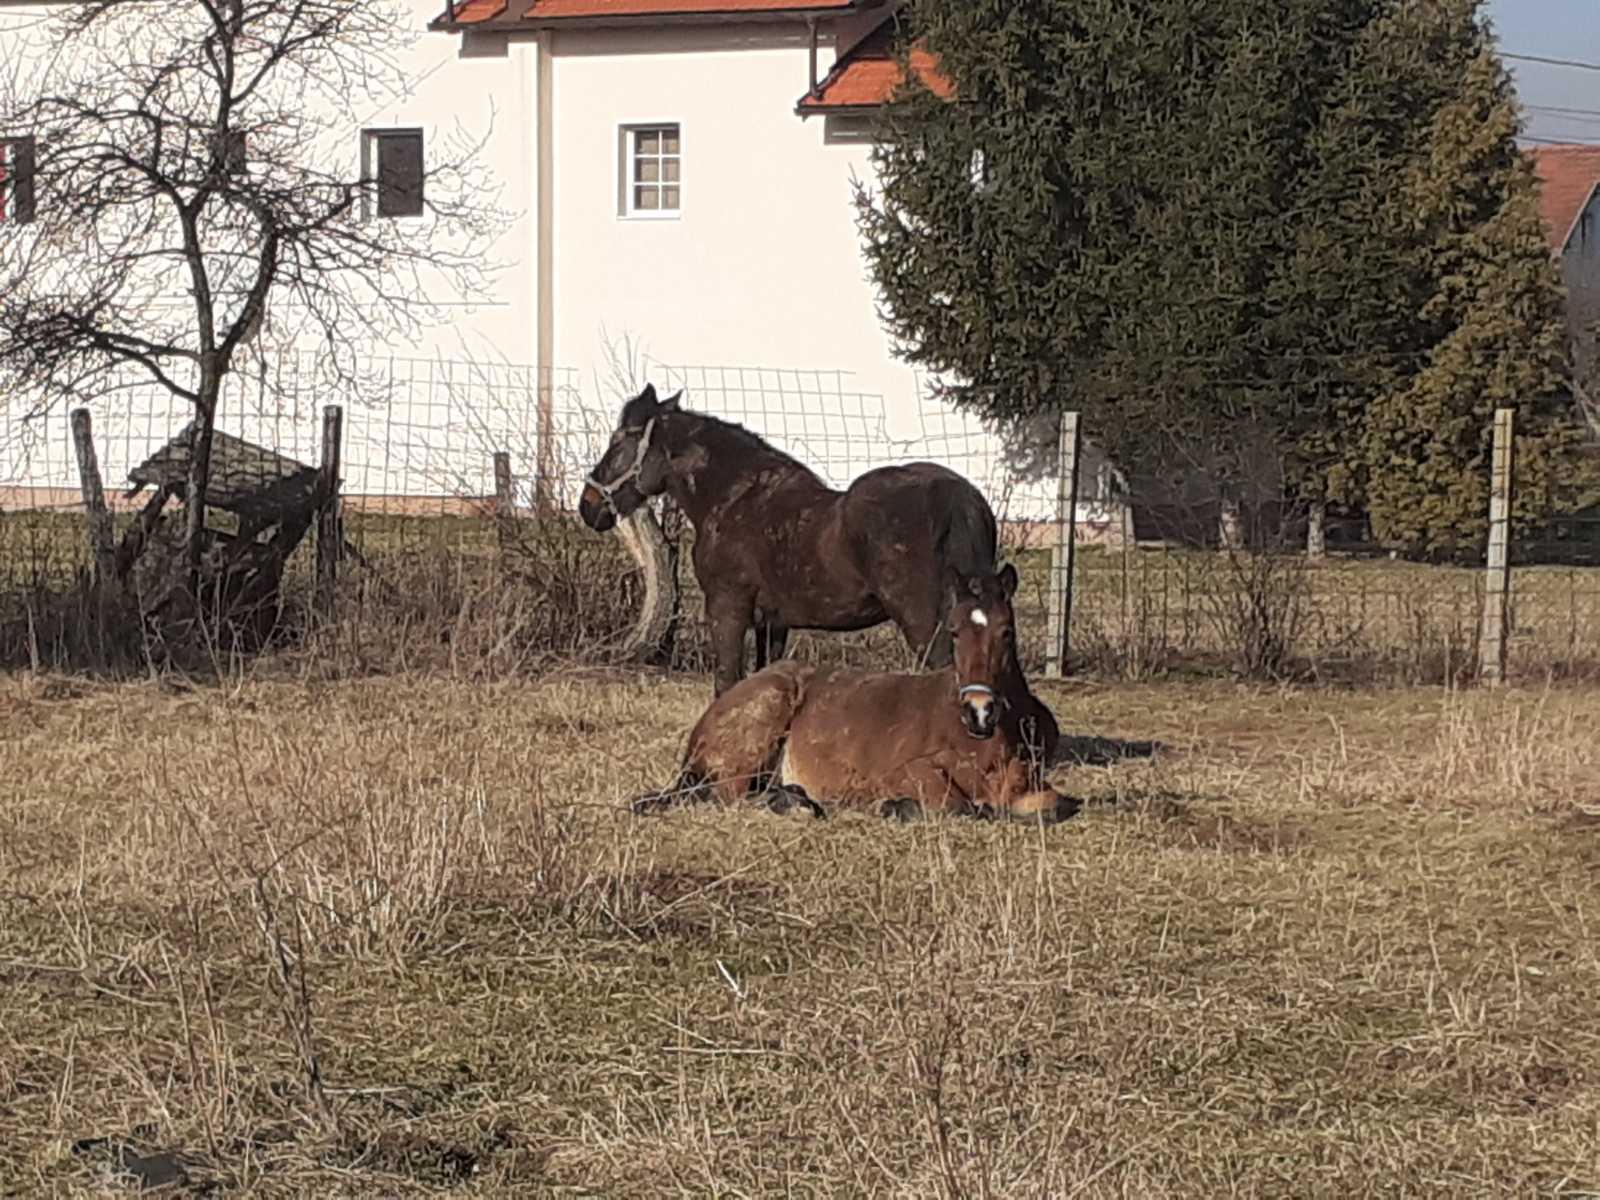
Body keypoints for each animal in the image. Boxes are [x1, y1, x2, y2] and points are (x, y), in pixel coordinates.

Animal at [576, 387, 998, 694]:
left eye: (620, 442)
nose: (588, 505)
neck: (734, 497)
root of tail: (959, 500)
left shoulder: (727, 609)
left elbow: (727, 682)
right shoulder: (773, 623)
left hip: (924, 625)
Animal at [627, 566, 1075, 825]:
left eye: (1007, 633)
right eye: (953, 632)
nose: (979, 711)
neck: (988, 744)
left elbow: (1053, 804)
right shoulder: (909, 771)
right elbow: (956, 804)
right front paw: (893, 807)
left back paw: (796, 797)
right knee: (729, 797)